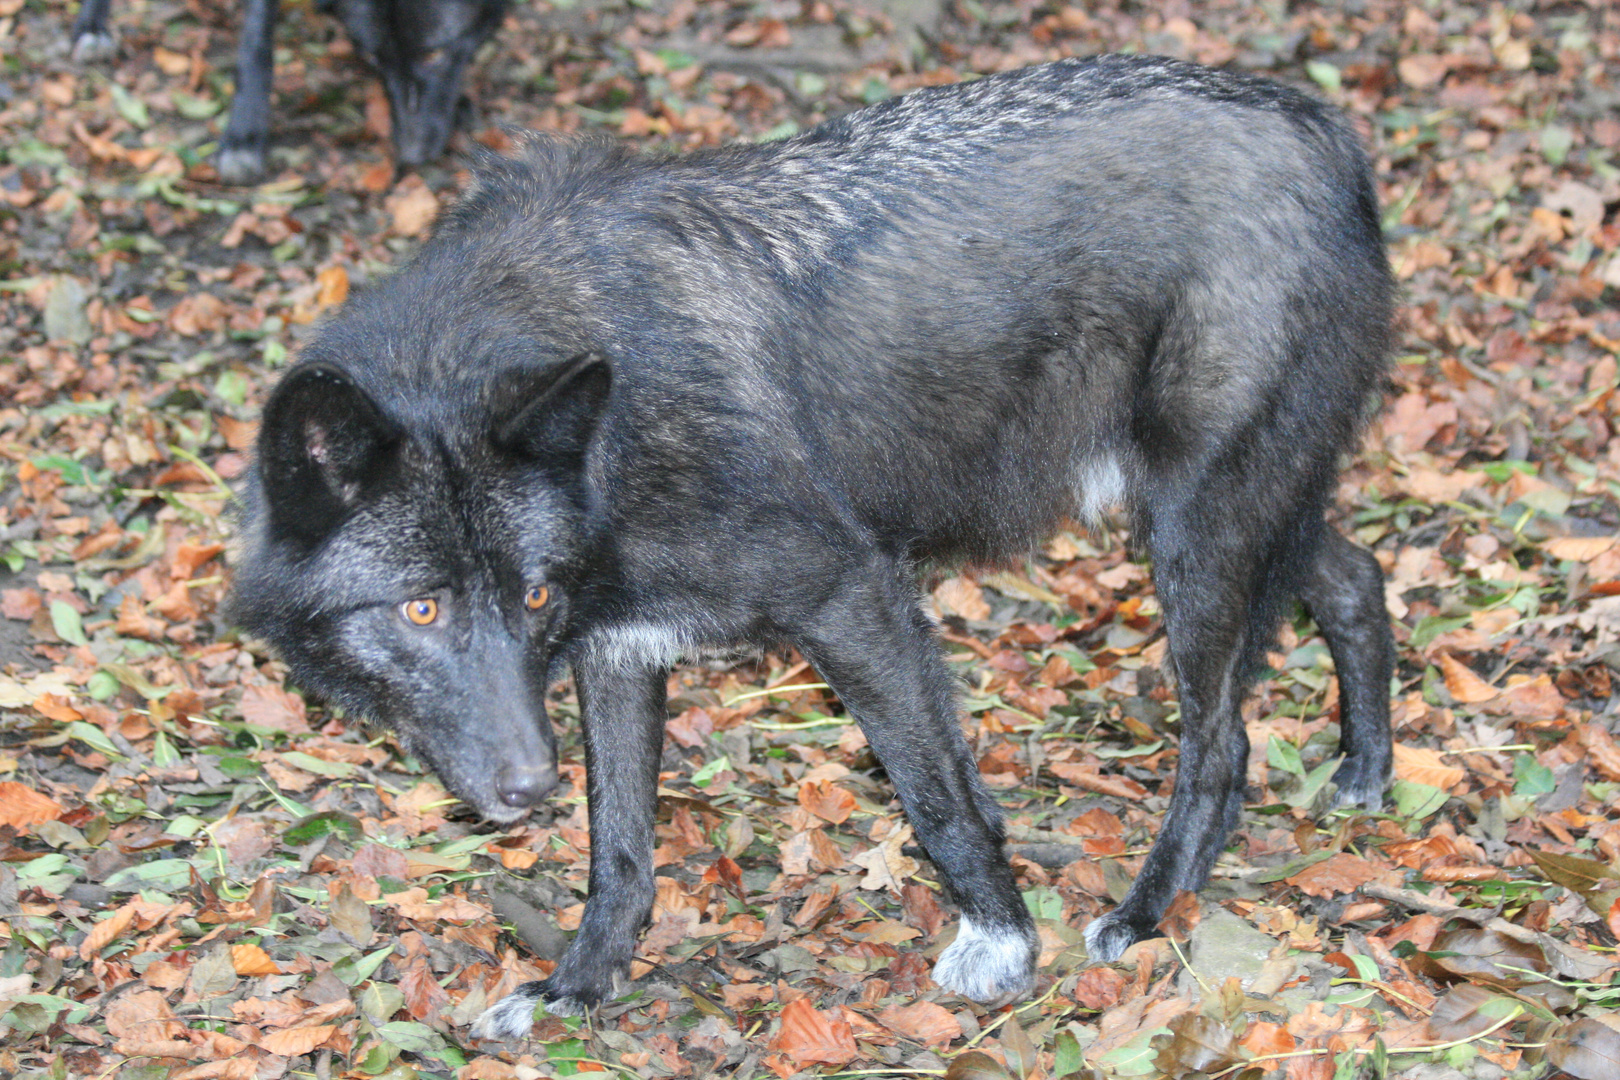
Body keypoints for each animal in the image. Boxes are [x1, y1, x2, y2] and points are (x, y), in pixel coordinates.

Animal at [69, 0, 505, 183]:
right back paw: (92, 26)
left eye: (436, 53)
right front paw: (244, 137)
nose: (411, 155)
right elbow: (256, 41)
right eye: (372, 57)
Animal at [231, 55, 1406, 1036]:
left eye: (527, 597)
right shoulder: (618, 648)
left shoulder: (853, 592)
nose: (528, 788)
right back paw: (1364, 772)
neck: (612, 439)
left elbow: (939, 796)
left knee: (1223, 743)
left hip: (1194, 532)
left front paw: (1002, 944)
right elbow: (621, 850)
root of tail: (1327, 132)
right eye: (423, 607)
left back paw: (1148, 912)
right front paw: (578, 988)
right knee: (1356, 576)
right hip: (1238, 514)